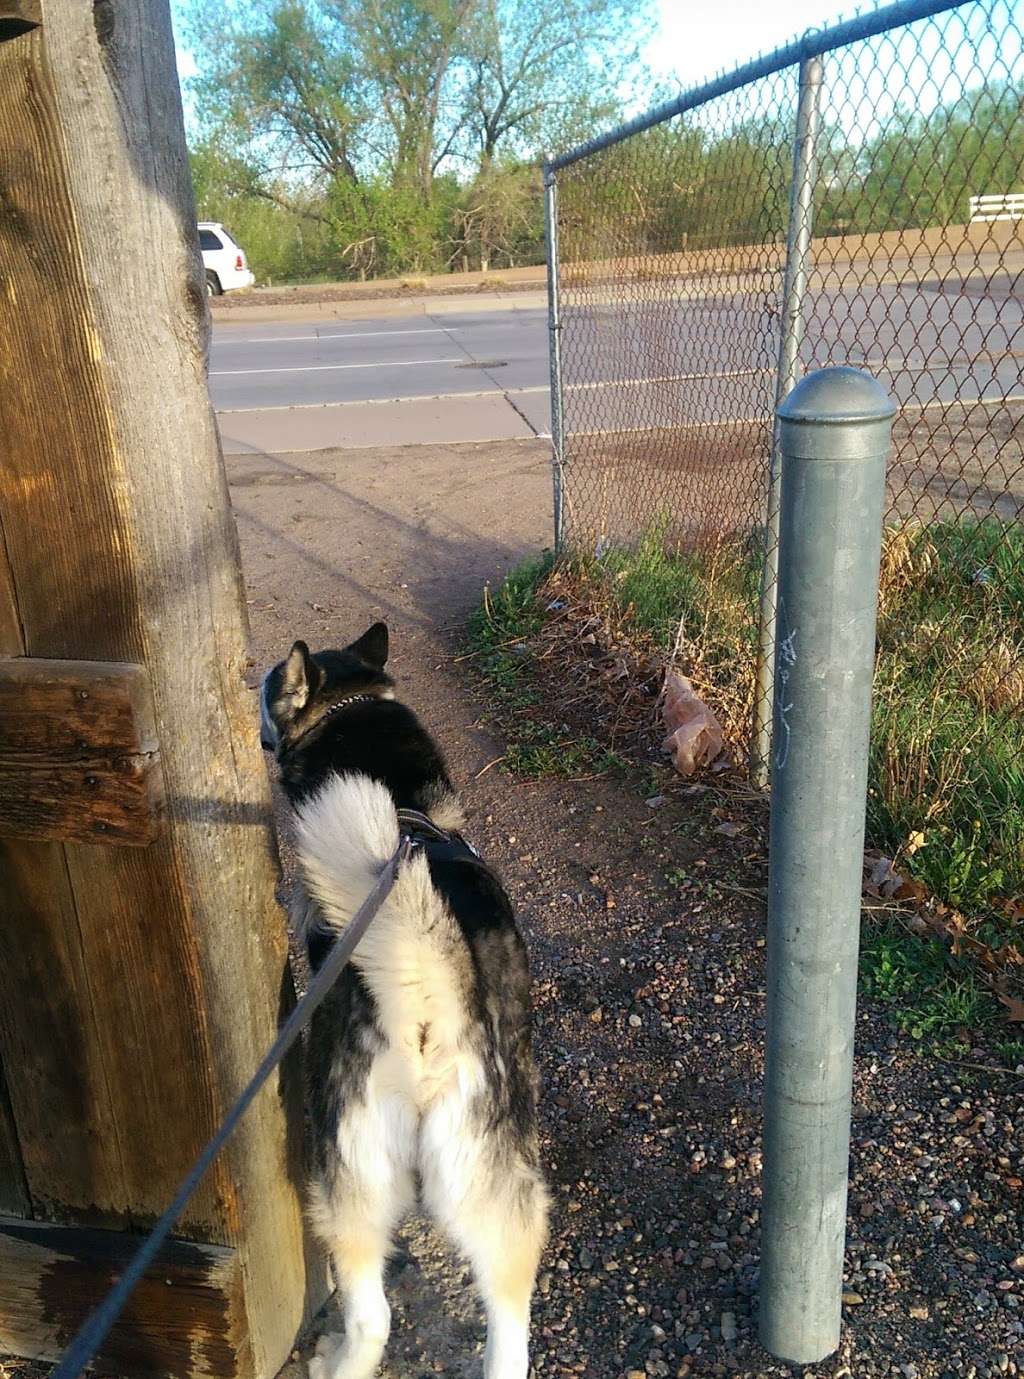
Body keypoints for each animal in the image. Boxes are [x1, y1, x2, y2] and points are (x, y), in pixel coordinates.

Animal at [264, 628, 548, 1379]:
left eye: (272, 687)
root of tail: (427, 995)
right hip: (496, 1187)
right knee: (510, 1331)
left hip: (346, 1182)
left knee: (372, 1318)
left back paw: (333, 1359)